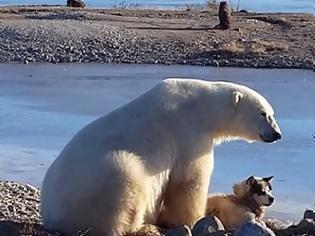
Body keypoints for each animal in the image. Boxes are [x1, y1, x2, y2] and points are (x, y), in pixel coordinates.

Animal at [41, 78, 282, 235]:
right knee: (123, 182)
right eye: (263, 114)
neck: (203, 106)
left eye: (272, 113)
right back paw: (142, 226)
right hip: (98, 179)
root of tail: (50, 214)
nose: (277, 134)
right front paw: (193, 218)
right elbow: (189, 181)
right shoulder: (189, 133)